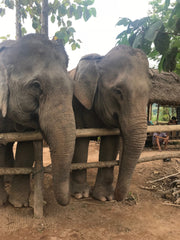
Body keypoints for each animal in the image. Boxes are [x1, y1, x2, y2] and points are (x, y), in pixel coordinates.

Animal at [0, 32, 75, 207]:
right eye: (36, 85)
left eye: (72, 86)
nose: (71, 198)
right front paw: (3, 202)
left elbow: (26, 147)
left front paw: (19, 203)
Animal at [69, 45, 150, 201]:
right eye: (118, 91)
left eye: (148, 95)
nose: (118, 197)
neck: (101, 59)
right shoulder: (76, 104)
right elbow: (80, 139)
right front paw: (80, 195)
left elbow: (111, 142)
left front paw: (105, 198)